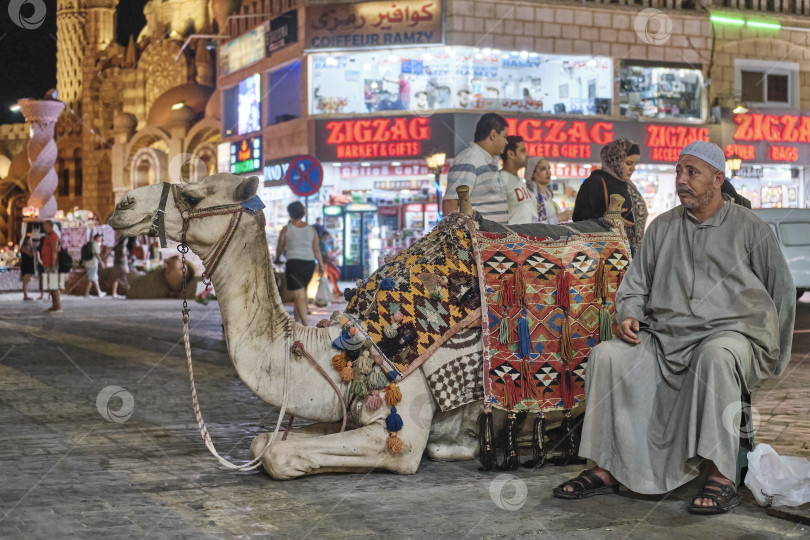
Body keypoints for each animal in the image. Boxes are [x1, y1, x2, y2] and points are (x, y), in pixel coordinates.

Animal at [109, 172, 612, 476]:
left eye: (192, 194)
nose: (123, 202)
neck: (338, 348)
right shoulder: (343, 408)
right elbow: (261, 442)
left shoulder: (401, 431)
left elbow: (278, 450)